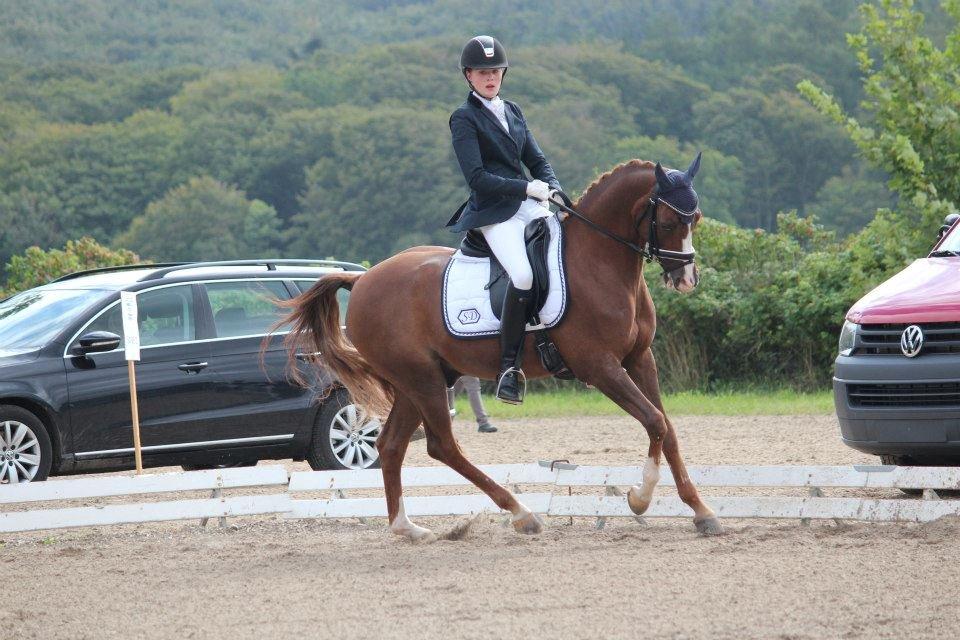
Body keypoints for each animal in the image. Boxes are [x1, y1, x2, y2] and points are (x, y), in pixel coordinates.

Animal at [281, 155, 722, 541]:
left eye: (697, 218)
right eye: (668, 220)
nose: (687, 279)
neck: (599, 263)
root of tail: (362, 280)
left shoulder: (639, 358)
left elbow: (667, 428)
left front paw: (702, 512)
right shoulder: (600, 366)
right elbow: (654, 421)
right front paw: (639, 499)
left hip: (417, 381)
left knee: (391, 446)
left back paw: (408, 528)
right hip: (421, 379)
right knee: (443, 446)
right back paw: (522, 513)